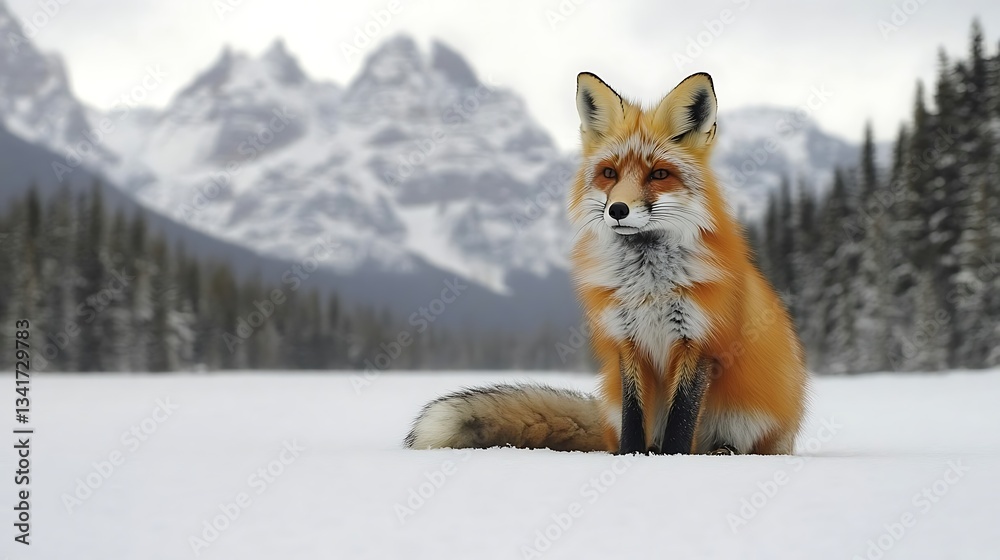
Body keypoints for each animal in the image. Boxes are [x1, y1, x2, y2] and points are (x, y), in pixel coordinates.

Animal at [405, 72, 808, 455]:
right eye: (610, 173)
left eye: (659, 174)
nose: (617, 210)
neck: (649, 285)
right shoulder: (626, 342)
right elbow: (634, 419)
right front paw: (631, 458)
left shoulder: (699, 343)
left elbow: (681, 422)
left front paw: (675, 461)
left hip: (748, 418)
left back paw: (719, 451)